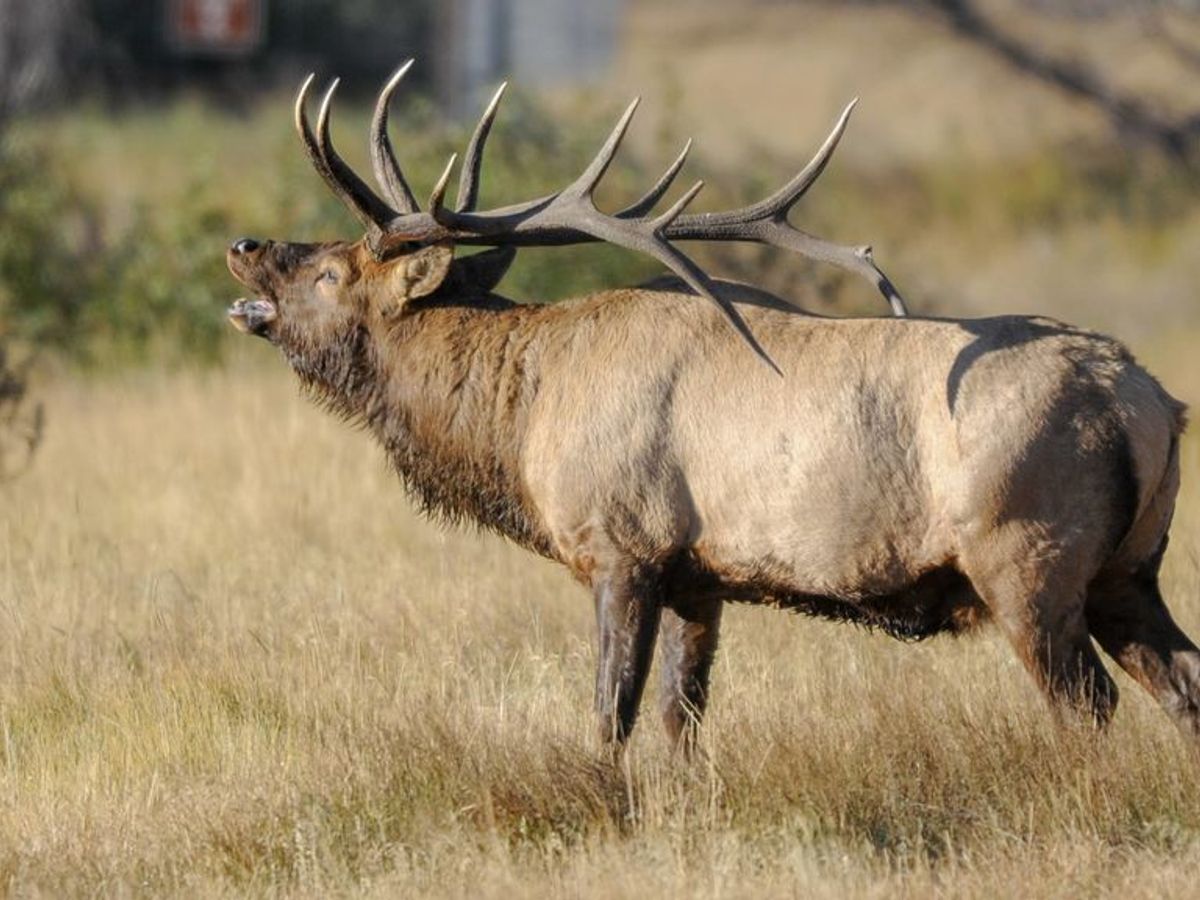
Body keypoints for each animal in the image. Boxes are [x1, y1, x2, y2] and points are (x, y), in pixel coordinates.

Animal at [226, 65, 1200, 753]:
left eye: (330, 271)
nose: (244, 245)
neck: (522, 417)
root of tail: (1151, 406)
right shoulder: (700, 578)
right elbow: (679, 719)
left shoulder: (622, 546)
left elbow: (610, 715)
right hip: (1129, 571)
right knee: (1184, 685)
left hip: (1026, 559)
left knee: (1089, 706)